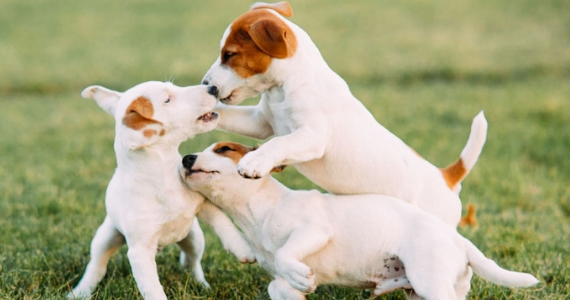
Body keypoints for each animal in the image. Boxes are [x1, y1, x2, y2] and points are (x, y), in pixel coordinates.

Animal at [67, 82, 253, 300]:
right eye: (167, 99)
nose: (213, 88)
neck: (163, 176)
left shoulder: (202, 203)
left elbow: (222, 222)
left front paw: (242, 248)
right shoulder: (139, 252)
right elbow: (152, 288)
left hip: (194, 237)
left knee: (191, 261)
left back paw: (202, 285)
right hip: (105, 237)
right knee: (97, 266)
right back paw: (80, 291)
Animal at [179, 141, 536, 300]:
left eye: (223, 148)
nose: (185, 158)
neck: (259, 210)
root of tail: (459, 240)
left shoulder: (315, 230)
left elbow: (286, 253)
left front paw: (300, 274)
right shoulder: (277, 278)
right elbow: (277, 283)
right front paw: (300, 283)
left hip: (431, 284)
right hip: (425, 292)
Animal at [200, 1, 484, 226]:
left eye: (230, 55)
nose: (206, 84)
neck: (286, 86)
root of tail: (446, 177)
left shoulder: (313, 136)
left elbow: (280, 143)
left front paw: (255, 162)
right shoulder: (261, 122)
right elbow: (229, 115)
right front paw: (203, 110)